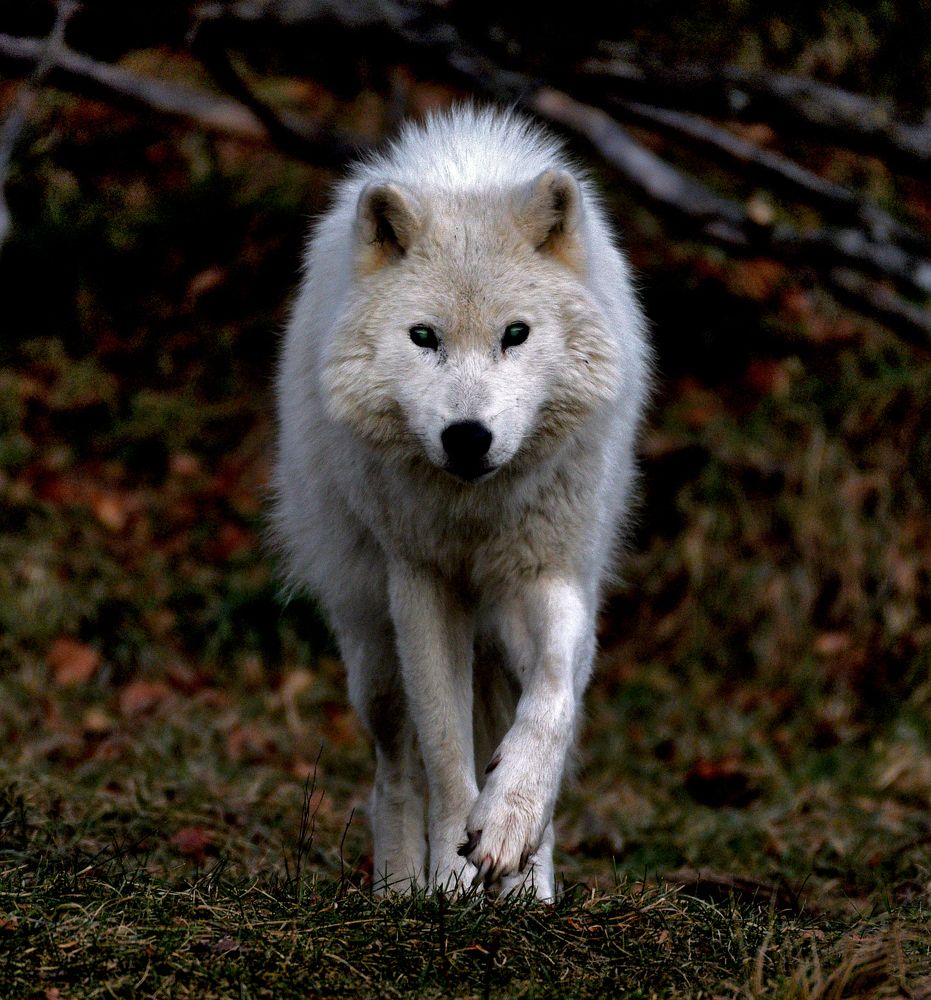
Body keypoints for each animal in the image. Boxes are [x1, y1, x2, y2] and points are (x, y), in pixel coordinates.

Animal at [273, 106, 650, 900]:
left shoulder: (550, 575)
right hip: (372, 658)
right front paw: (449, 879)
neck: (476, 514)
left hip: (495, 637)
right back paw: (398, 888)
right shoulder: (422, 584)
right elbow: (445, 755)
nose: (468, 437)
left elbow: (552, 699)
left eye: (516, 334)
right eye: (423, 337)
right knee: (393, 773)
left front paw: (508, 825)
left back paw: (529, 889)